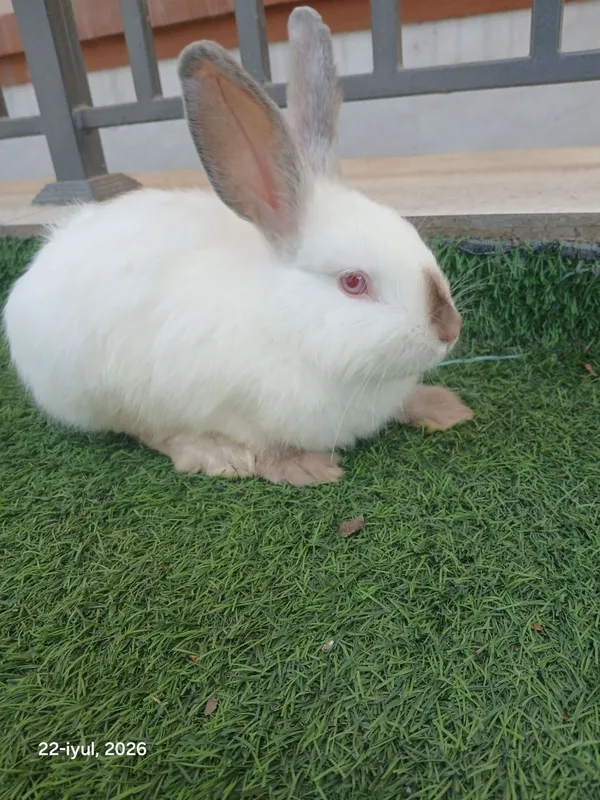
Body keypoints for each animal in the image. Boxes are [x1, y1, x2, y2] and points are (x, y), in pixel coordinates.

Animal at [2, 6, 473, 487]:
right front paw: (301, 466)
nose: (449, 329)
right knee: (146, 429)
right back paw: (213, 453)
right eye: (353, 282)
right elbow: (258, 445)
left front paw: (442, 407)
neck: (287, 323)